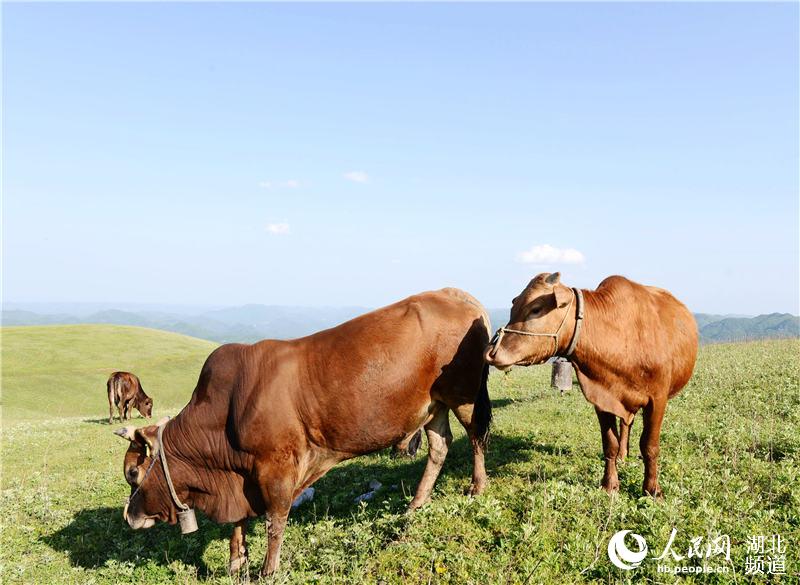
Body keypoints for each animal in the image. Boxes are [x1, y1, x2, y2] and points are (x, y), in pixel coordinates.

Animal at [484, 274, 696, 498]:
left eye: (536, 309)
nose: (491, 351)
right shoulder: (603, 398)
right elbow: (610, 444)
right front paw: (609, 484)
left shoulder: (657, 399)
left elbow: (650, 446)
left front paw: (653, 490)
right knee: (626, 424)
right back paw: (623, 455)